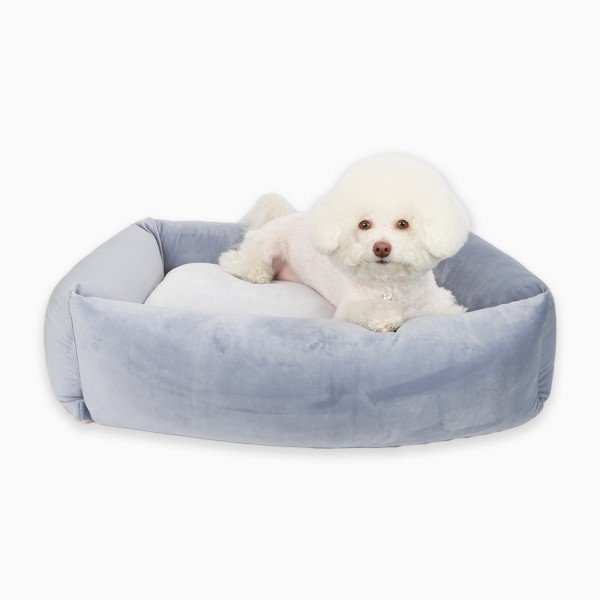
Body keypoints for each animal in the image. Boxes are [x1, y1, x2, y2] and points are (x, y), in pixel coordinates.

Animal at [219, 153, 470, 332]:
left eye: (403, 224)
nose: (381, 247)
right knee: (240, 263)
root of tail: (280, 217)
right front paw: (385, 318)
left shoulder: (435, 303)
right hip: (263, 250)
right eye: (364, 224)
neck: (389, 288)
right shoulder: (349, 309)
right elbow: (370, 310)